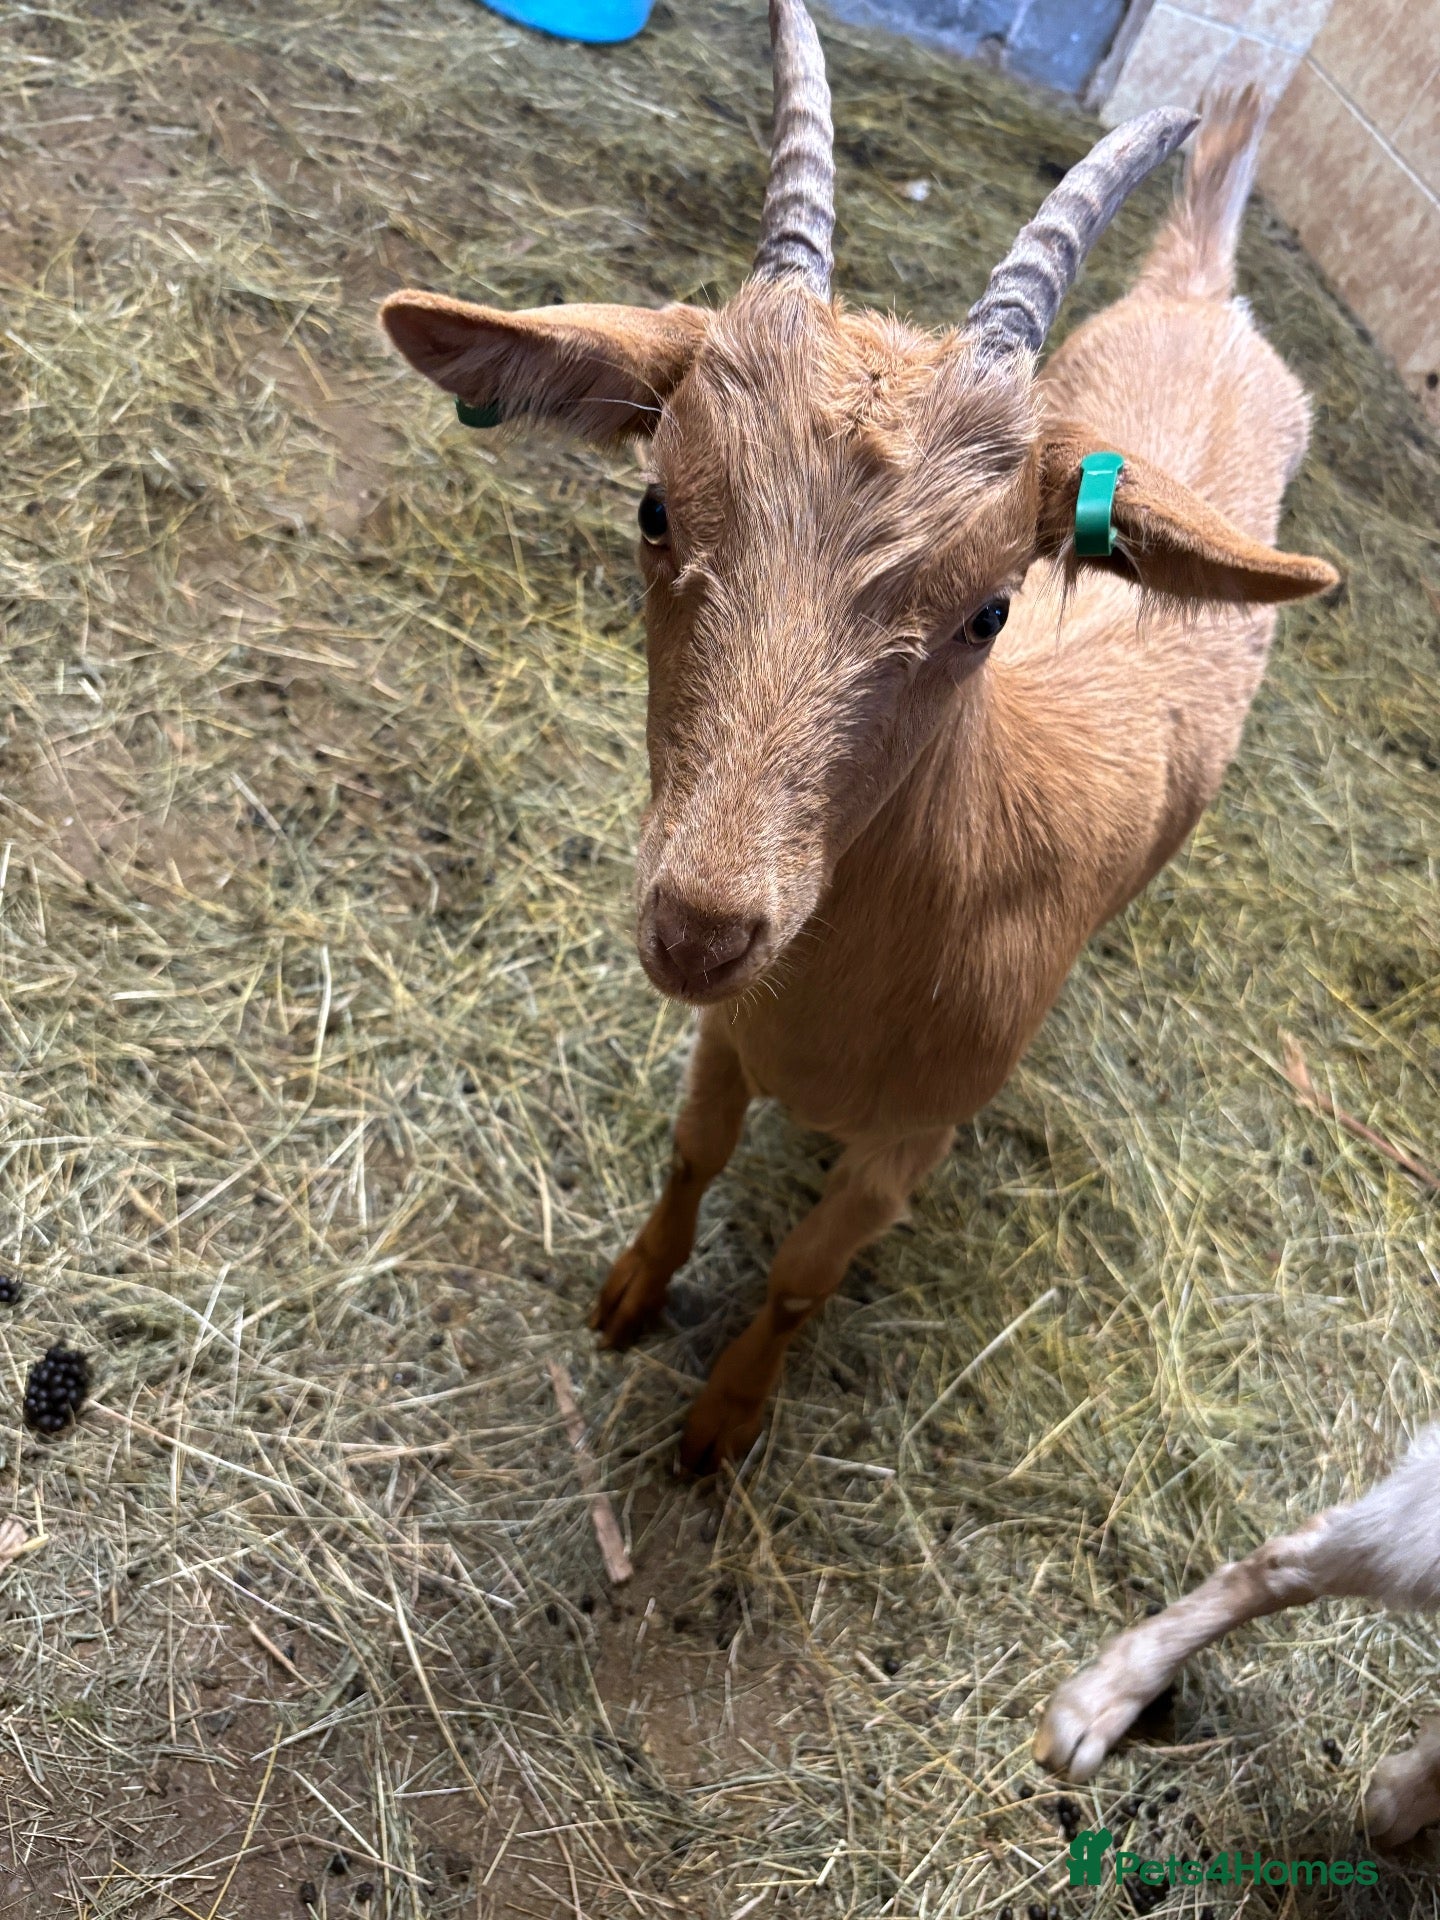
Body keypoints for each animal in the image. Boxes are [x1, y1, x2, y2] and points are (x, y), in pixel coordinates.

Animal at [380, 3, 1337, 1472]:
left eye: (992, 608)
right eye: (655, 508)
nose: (702, 925)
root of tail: (1202, 287)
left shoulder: (914, 1141)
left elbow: (799, 1277)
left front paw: (719, 1427)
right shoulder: (726, 1035)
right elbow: (692, 1155)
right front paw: (626, 1296)